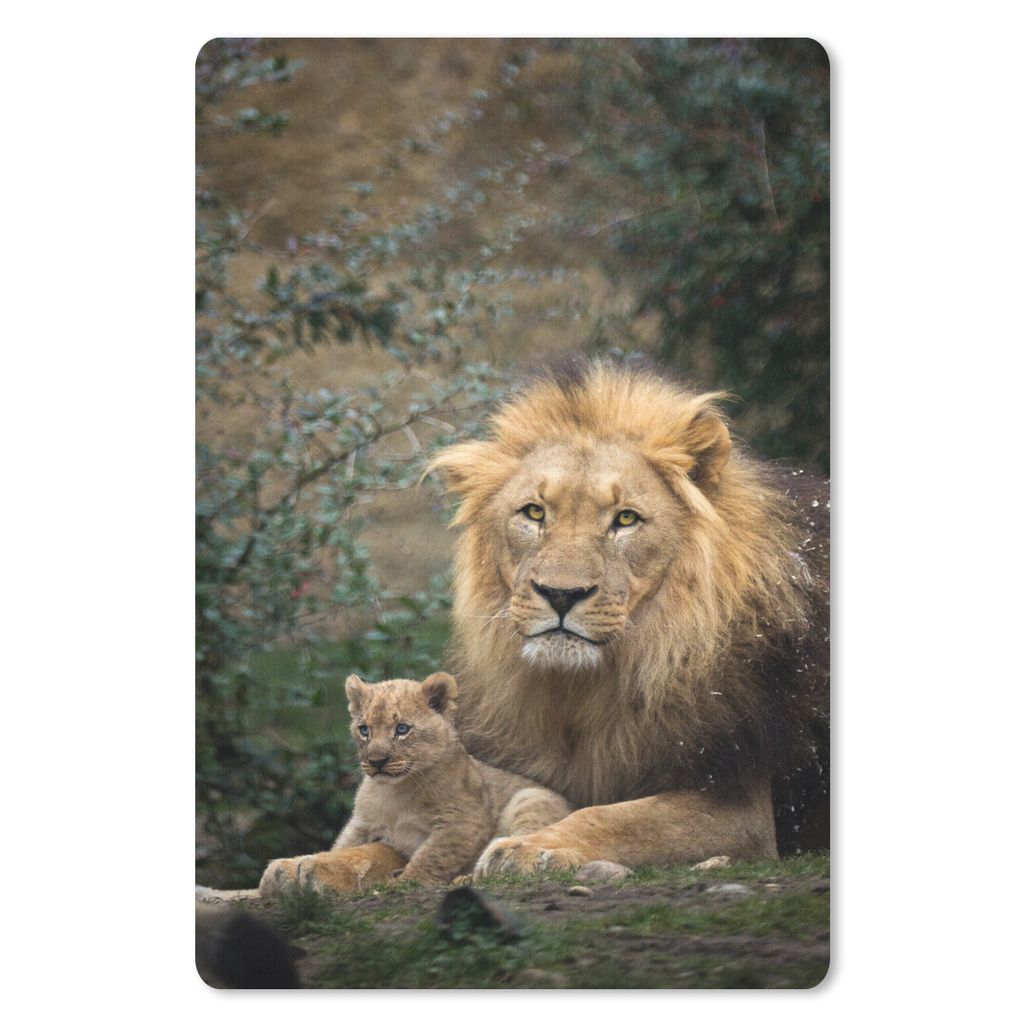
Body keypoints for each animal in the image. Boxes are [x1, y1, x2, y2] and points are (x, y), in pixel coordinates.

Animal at [258, 358, 828, 891]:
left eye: (625, 519)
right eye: (533, 513)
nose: (561, 594)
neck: (585, 691)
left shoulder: (738, 804)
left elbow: (615, 817)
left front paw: (529, 848)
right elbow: (381, 843)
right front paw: (308, 864)